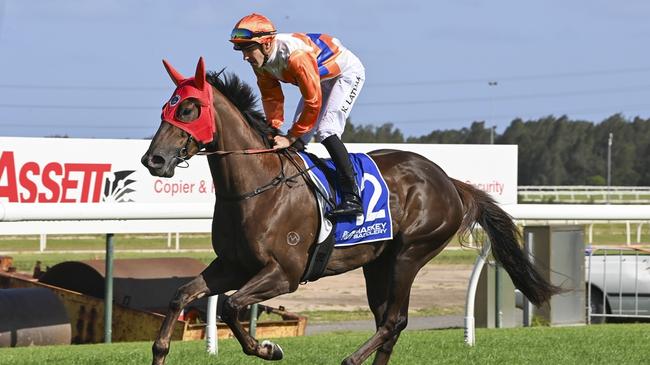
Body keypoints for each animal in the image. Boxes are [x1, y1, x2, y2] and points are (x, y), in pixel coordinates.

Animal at [140, 57, 556, 364]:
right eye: (166, 107)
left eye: (190, 109)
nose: (153, 159)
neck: (255, 187)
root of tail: (448, 181)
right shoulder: (232, 266)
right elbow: (182, 295)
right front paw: (160, 349)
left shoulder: (284, 273)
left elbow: (230, 305)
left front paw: (268, 347)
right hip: (378, 263)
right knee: (389, 322)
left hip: (410, 253)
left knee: (394, 320)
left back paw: (351, 359)